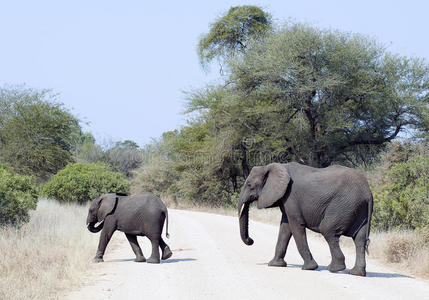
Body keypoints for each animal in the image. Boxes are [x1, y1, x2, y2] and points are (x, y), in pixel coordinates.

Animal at [237, 162, 372, 276]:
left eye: (249, 185)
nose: (251, 240)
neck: (276, 166)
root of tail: (368, 193)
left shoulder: (291, 196)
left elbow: (296, 226)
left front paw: (309, 268)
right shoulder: (286, 198)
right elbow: (285, 227)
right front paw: (275, 265)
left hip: (344, 205)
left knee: (328, 230)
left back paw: (335, 269)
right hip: (358, 208)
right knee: (359, 239)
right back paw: (357, 273)